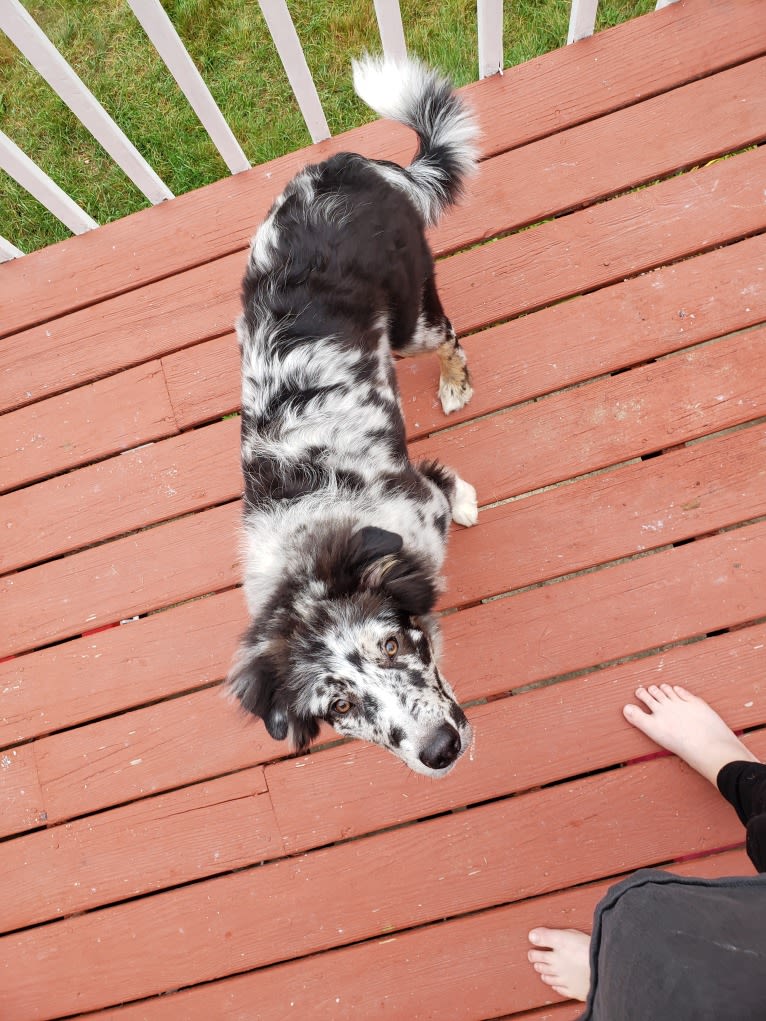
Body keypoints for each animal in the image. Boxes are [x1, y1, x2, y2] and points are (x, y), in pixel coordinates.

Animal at [226, 55, 480, 771]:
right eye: (339, 706)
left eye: (391, 646)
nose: (442, 749)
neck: (310, 548)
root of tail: (361, 166)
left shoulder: (419, 498)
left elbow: (446, 485)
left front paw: (467, 504)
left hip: (410, 322)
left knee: (451, 337)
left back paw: (455, 385)